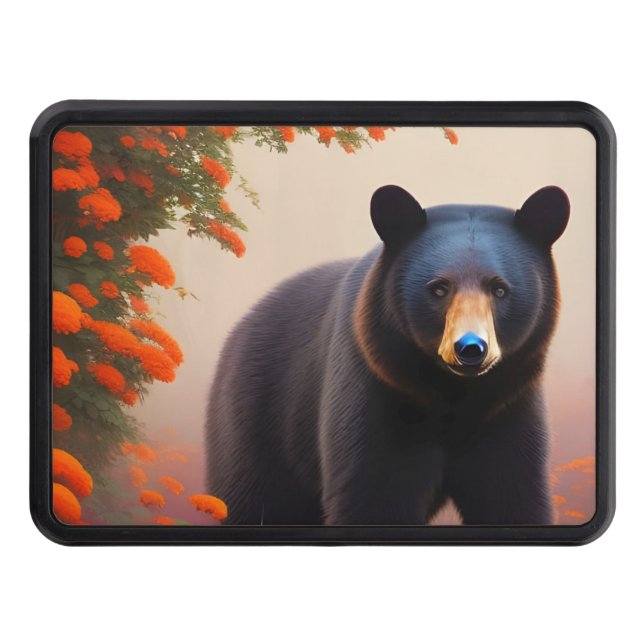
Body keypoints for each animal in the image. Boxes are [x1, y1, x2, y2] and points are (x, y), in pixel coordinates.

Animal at [205, 184, 570, 525]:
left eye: (500, 289)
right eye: (439, 289)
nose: (470, 348)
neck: (453, 397)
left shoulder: (508, 406)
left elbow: (511, 493)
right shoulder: (371, 387)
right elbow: (373, 493)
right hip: (256, 420)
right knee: (253, 497)